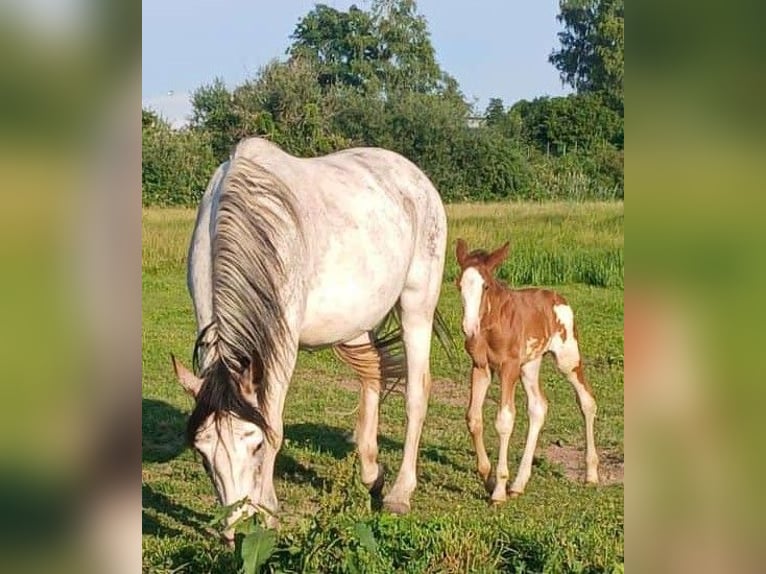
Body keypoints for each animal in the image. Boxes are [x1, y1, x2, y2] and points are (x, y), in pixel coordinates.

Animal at [170, 137, 449, 542]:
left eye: (255, 445)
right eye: (203, 455)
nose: (237, 532)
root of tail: (415, 176)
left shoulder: (281, 343)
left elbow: (274, 422)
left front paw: (269, 515)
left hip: (417, 304)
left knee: (416, 392)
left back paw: (399, 493)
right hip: (358, 321)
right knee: (373, 376)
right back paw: (371, 475)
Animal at [454, 239, 599, 503]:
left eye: (486, 286)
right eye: (458, 284)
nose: (469, 328)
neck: (493, 323)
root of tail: (558, 298)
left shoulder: (508, 366)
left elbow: (504, 420)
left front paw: (498, 491)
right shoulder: (480, 367)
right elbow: (473, 417)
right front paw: (488, 478)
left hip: (567, 358)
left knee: (587, 401)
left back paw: (591, 475)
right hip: (530, 365)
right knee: (538, 406)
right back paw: (519, 484)